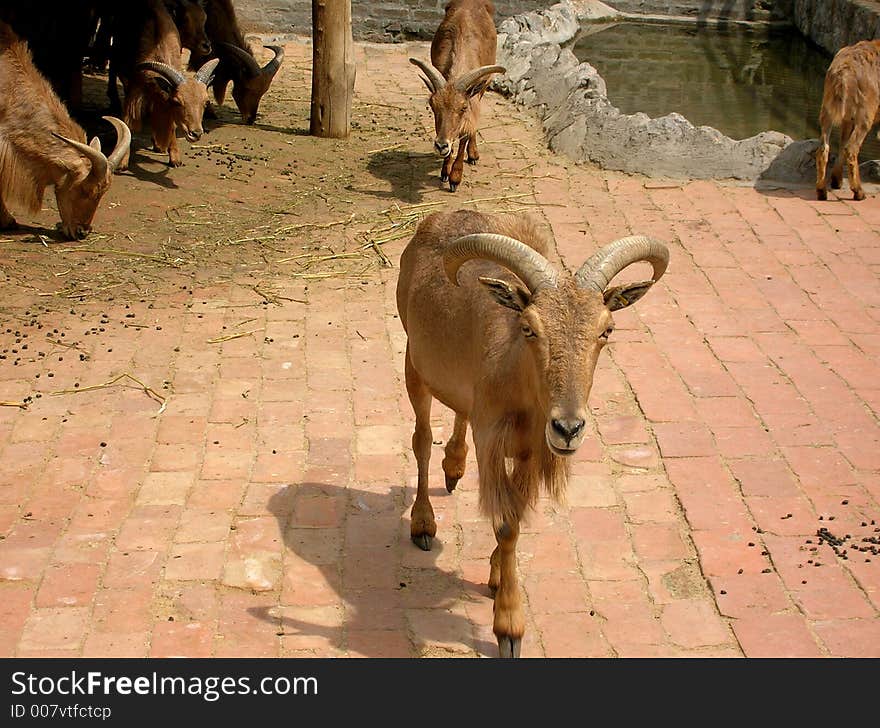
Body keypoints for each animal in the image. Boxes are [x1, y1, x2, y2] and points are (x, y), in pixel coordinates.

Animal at [111, 0, 220, 169]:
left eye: (206, 102)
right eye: (177, 102)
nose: (195, 133)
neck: (157, 44)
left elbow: (172, 125)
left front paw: (175, 158)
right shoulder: (134, 90)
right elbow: (128, 123)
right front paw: (123, 162)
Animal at [396, 208, 672, 656]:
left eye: (606, 330)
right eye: (529, 328)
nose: (568, 428)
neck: (518, 381)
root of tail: (440, 217)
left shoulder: (528, 452)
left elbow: (516, 522)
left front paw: (495, 575)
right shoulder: (492, 441)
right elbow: (506, 523)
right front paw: (509, 627)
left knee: (457, 413)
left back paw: (454, 467)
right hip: (413, 363)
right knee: (421, 440)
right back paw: (423, 524)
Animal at [410, 0, 506, 191]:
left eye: (462, 107)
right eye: (433, 106)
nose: (440, 145)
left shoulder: (473, 99)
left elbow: (465, 134)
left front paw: (455, 178)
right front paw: (445, 171)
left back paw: (473, 154)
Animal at [816, 38, 880, 200]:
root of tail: (844, 72)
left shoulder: (847, 118)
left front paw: (836, 180)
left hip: (829, 106)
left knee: (825, 147)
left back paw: (822, 190)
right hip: (865, 112)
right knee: (851, 148)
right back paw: (859, 192)